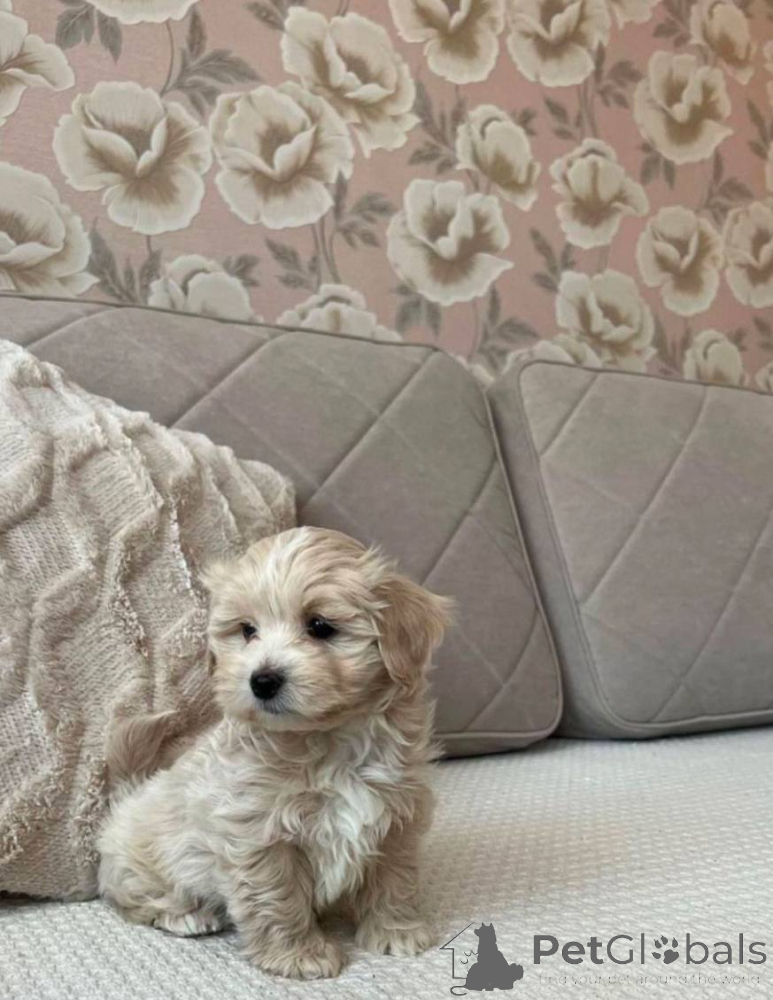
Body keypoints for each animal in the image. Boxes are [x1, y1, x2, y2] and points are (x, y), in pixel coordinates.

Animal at [98, 526, 452, 980]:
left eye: (320, 626)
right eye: (247, 630)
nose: (262, 680)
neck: (326, 741)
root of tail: (129, 794)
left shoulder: (397, 818)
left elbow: (394, 878)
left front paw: (395, 931)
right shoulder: (258, 835)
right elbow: (277, 898)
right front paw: (299, 955)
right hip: (141, 862)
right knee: (134, 898)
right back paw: (187, 915)